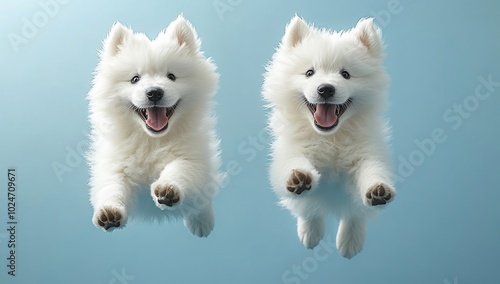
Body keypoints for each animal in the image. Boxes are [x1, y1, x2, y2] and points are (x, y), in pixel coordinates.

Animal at [87, 15, 222, 237]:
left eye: (171, 76)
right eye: (135, 79)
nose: (154, 92)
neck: (151, 140)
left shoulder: (192, 156)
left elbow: (179, 169)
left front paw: (168, 189)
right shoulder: (114, 163)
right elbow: (113, 187)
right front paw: (109, 212)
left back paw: (202, 222)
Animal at [264, 16, 396, 260]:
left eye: (346, 74)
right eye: (309, 73)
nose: (326, 89)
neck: (332, 137)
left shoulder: (368, 151)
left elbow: (372, 170)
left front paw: (377, 189)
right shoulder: (292, 150)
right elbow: (294, 163)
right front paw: (298, 177)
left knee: (354, 213)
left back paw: (349, 242)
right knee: (310, 210)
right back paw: (310, 233)